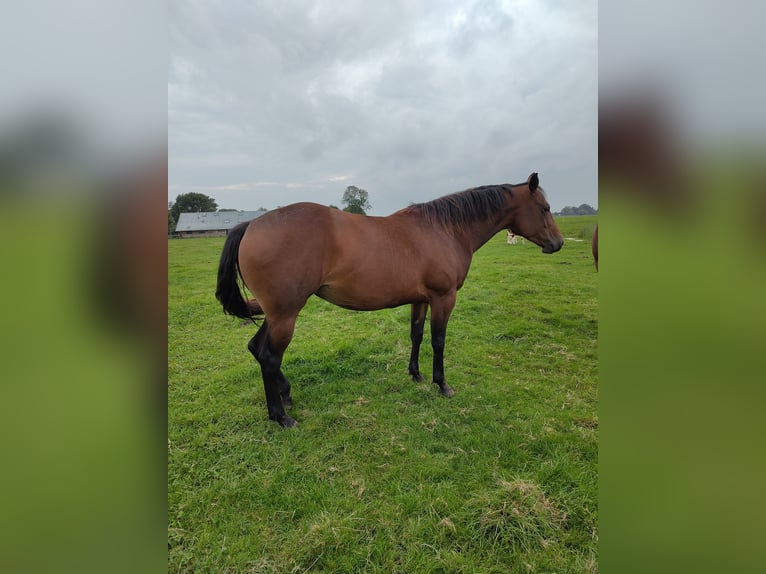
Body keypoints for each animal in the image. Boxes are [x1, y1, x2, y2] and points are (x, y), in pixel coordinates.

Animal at [216, 171, 564, 428]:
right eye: (545, 208)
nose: (558, 243)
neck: (445, 230)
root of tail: (251, 225)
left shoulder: (420, 299)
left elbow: (417, 335)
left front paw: (416, 374)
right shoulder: (443, 298)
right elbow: (438, 340)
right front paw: (442, 384)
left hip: (275, 314)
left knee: (256, 349)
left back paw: (285, 394)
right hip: (285, 315)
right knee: (269, 356)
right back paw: (281, 416)